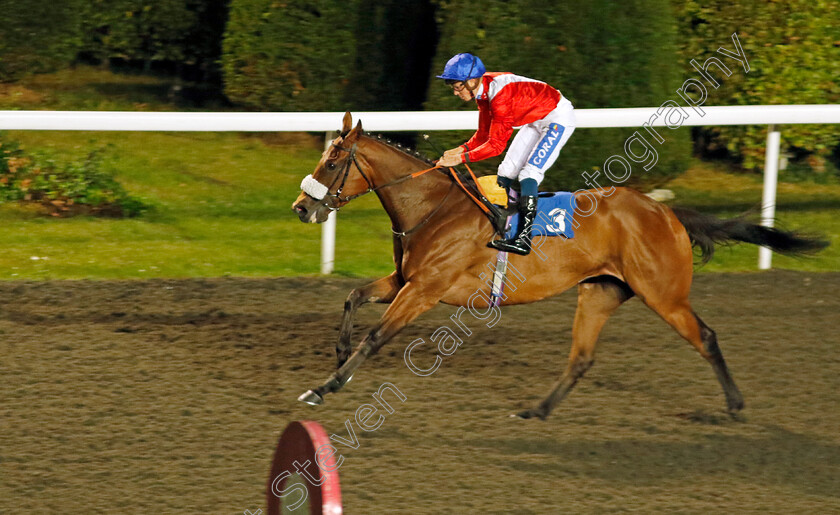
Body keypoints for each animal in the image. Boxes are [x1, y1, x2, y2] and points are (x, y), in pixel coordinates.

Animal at [290, 112, 828, 420]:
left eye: (333, 161)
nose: (301, 207)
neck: (433, 208)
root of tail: (668, 213)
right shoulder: (406, 279)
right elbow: (352, 297)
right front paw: (338, 355)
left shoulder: (424, 289)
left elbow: (377, 335)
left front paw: (325, 387)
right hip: (600, 291)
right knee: (581, 358)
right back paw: (537, 410)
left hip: (664, 294)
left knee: (707, 337)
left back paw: (735, 407)